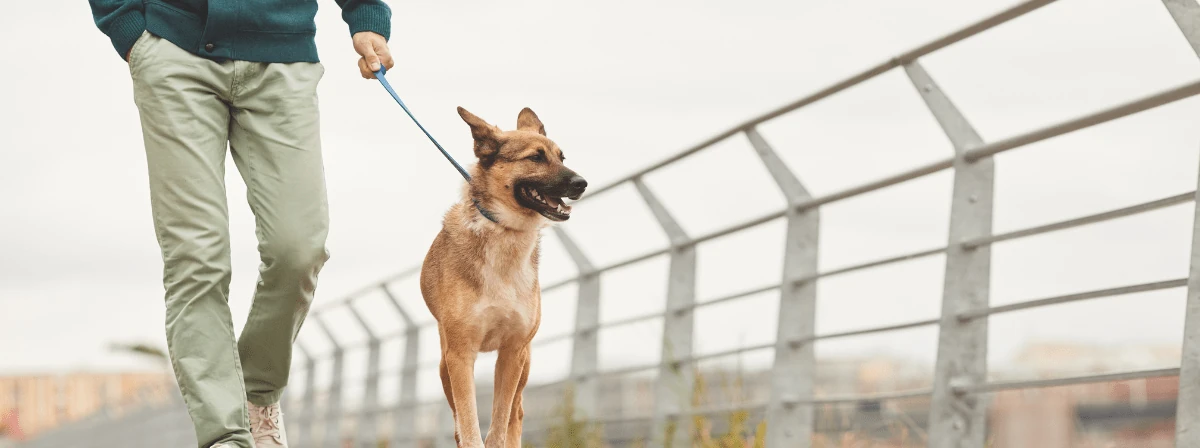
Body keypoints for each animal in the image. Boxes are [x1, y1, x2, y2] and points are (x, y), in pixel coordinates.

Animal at [420, 106, 588, 444]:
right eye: (535, 157)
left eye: (561, 157)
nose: (582, 183)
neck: (506, 231)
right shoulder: (460, 355)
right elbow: (468, 424)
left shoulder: (513, 352)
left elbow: (501, 422)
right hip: (445, 366)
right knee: (458, 421)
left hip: (524, 365)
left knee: (516, 412)